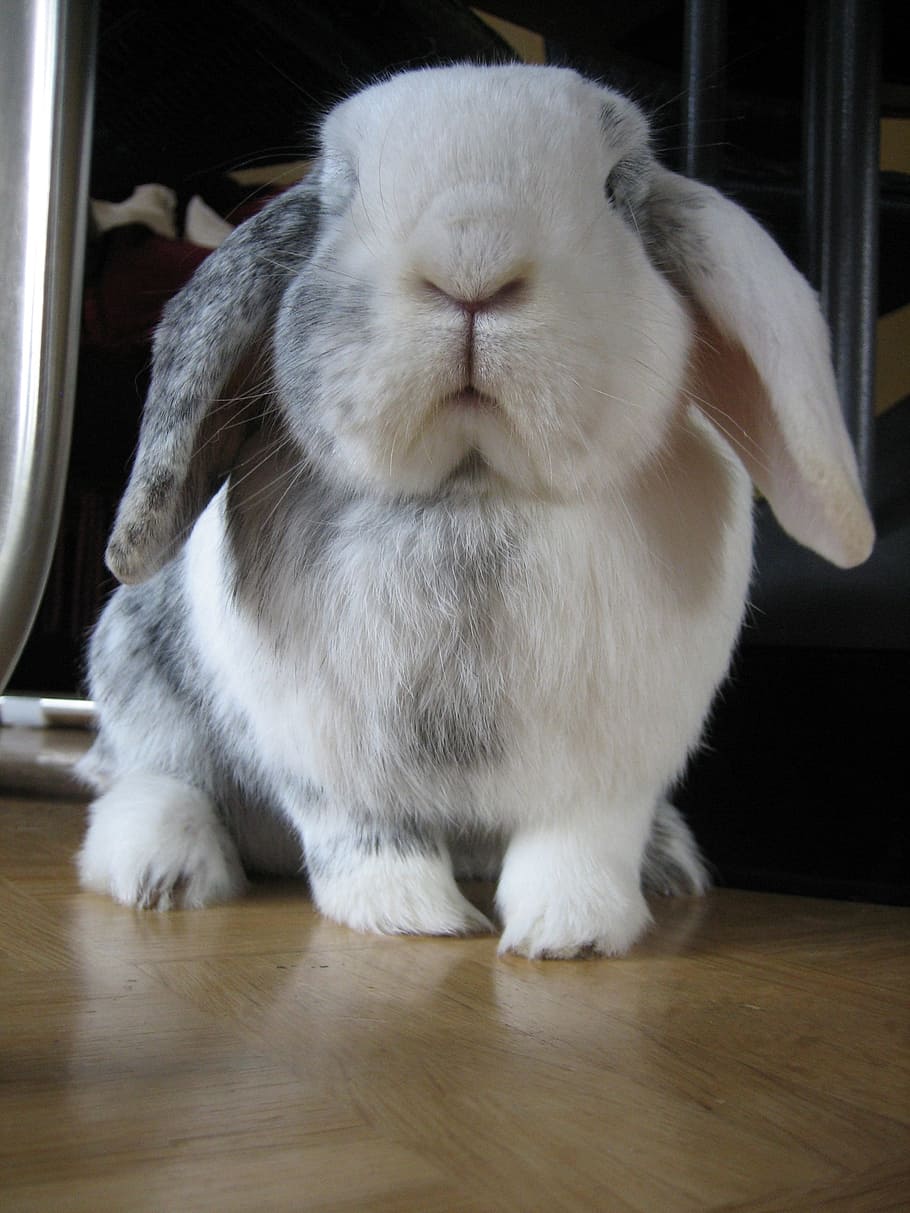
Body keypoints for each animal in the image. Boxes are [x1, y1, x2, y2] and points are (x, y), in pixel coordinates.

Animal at [76, 63, 874, 959]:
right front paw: (412, 918)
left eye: (615, 188)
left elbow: (578, 846)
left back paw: (670, 864)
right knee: (148, 777)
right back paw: (164, 870)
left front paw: (571, 934)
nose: (472, 262)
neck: (474, 485)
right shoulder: (326, 763)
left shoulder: (610, 772)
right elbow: (364, 837)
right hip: (135, 671)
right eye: (344, 192)